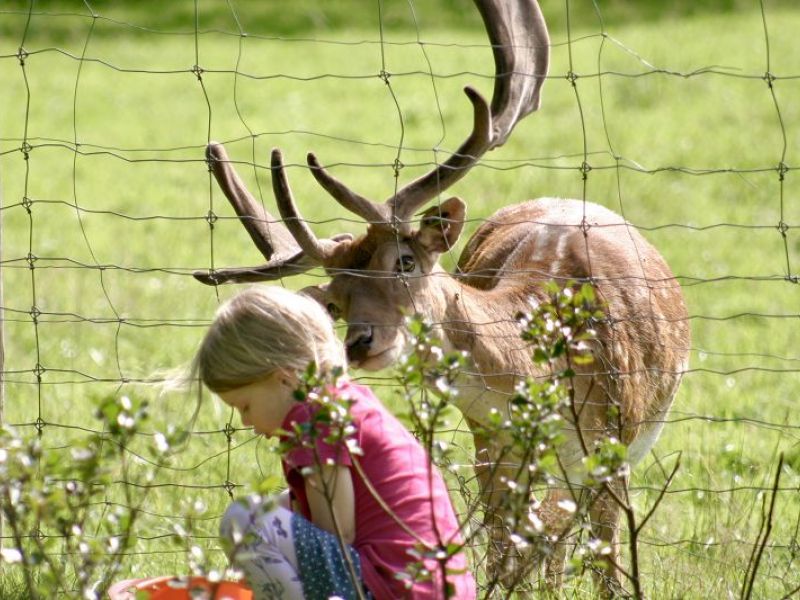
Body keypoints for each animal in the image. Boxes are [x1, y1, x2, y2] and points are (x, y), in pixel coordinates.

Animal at [192, 0, 688, 592]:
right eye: (336, 300)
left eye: (404, 262)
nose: (360, 342)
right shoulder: (492, 448)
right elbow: (504, 560)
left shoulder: (613, 444)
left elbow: (609, 564)